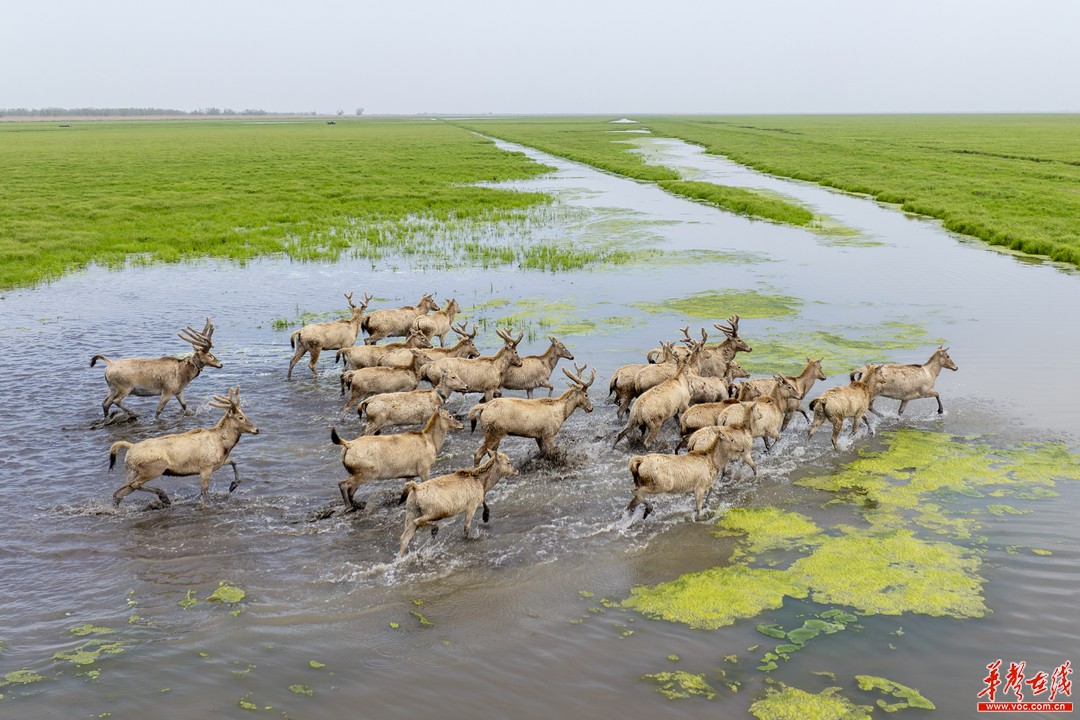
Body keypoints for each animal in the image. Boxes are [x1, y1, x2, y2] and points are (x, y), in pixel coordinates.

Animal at [90, 317, 221, 418]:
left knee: (105, 403)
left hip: (112, 387)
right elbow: (158, 411)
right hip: (125, 387)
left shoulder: (178, 391)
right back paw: (134, 413)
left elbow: (184, 406)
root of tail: (109, 364)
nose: (220, 364)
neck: (184, 376)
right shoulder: (167, 390)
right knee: (115, 401)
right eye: (210, 355)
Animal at [108, 388, 259, 507]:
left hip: (131, 471)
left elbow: (234, 461)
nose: (256, 430)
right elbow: (204, 492)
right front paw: (202, 505)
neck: (223, 445)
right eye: (240, 417)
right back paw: (163, 497)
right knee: (133, 485)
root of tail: (130, 447)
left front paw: (233, 485)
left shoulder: (218, 463)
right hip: (154, 467)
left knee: (119, 492)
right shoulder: (205, 466)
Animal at [328, 408, 464, 515]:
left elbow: (406, 492)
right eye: (450, 416)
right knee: (343, 484)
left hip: (355, 472)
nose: (461, 425)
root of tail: (347, 445)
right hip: (367, 473)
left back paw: (358, 505)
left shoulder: (409, 474)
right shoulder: (424, 469)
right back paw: (349, 507)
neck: (431, 442)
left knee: (351, 490)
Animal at [466, 362, 596, 464]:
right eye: (586, 395)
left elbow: (543, 453)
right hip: (494, 432)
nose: (591, 408)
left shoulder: (538, 435)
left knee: (492, 453)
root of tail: (484, 406)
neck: (561, 413)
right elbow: (551, 454)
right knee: (478, 453)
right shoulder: (548, 433)